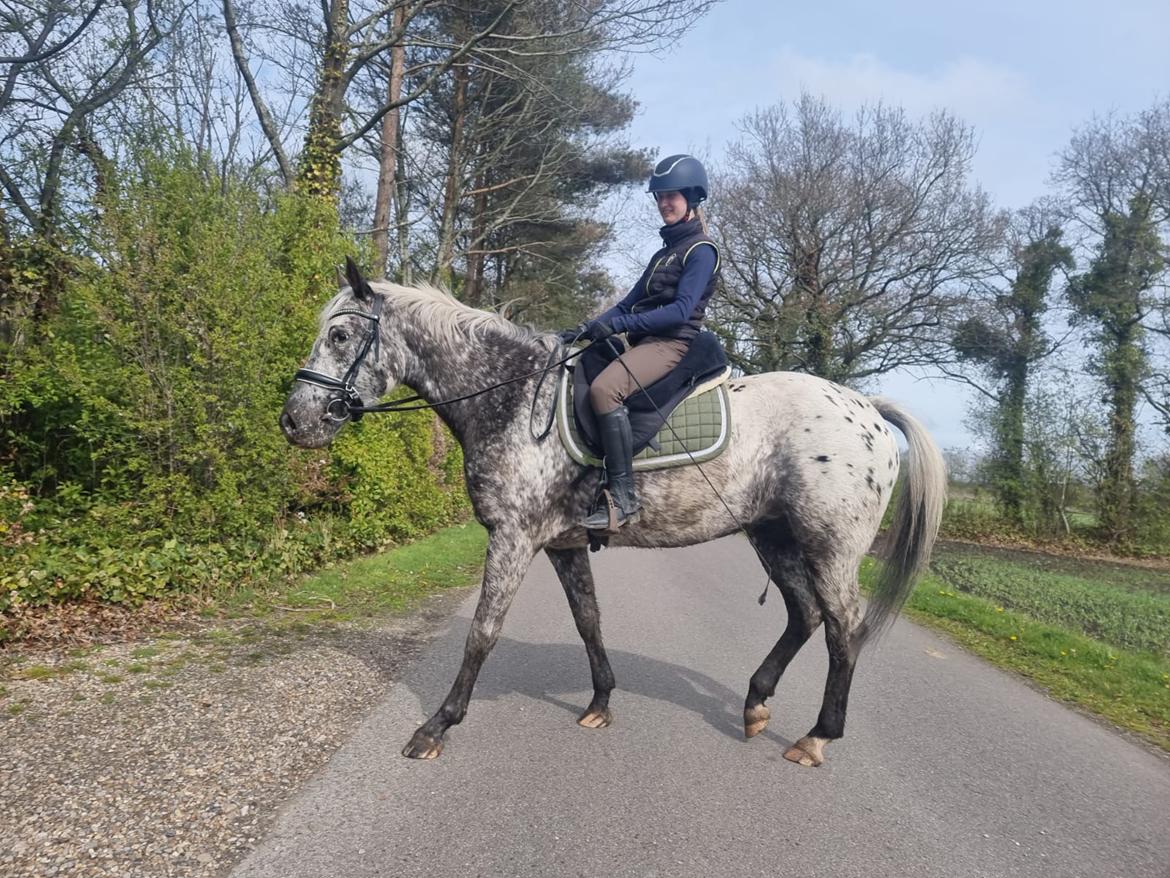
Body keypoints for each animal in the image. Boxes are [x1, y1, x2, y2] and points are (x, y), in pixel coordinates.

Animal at [285, 257, 950, 767]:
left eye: (340, 336)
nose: (294, 422)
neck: (513, 397)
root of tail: (866, 408)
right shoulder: (562, 543)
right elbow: (589, 621)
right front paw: (601, 703)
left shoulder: (513, 537)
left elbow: (482, 634)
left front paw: (436, 727)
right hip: (773, 536)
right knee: (805, 615)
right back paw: (756, 704)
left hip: (829, 547)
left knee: (843, 628)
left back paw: (816, 737)